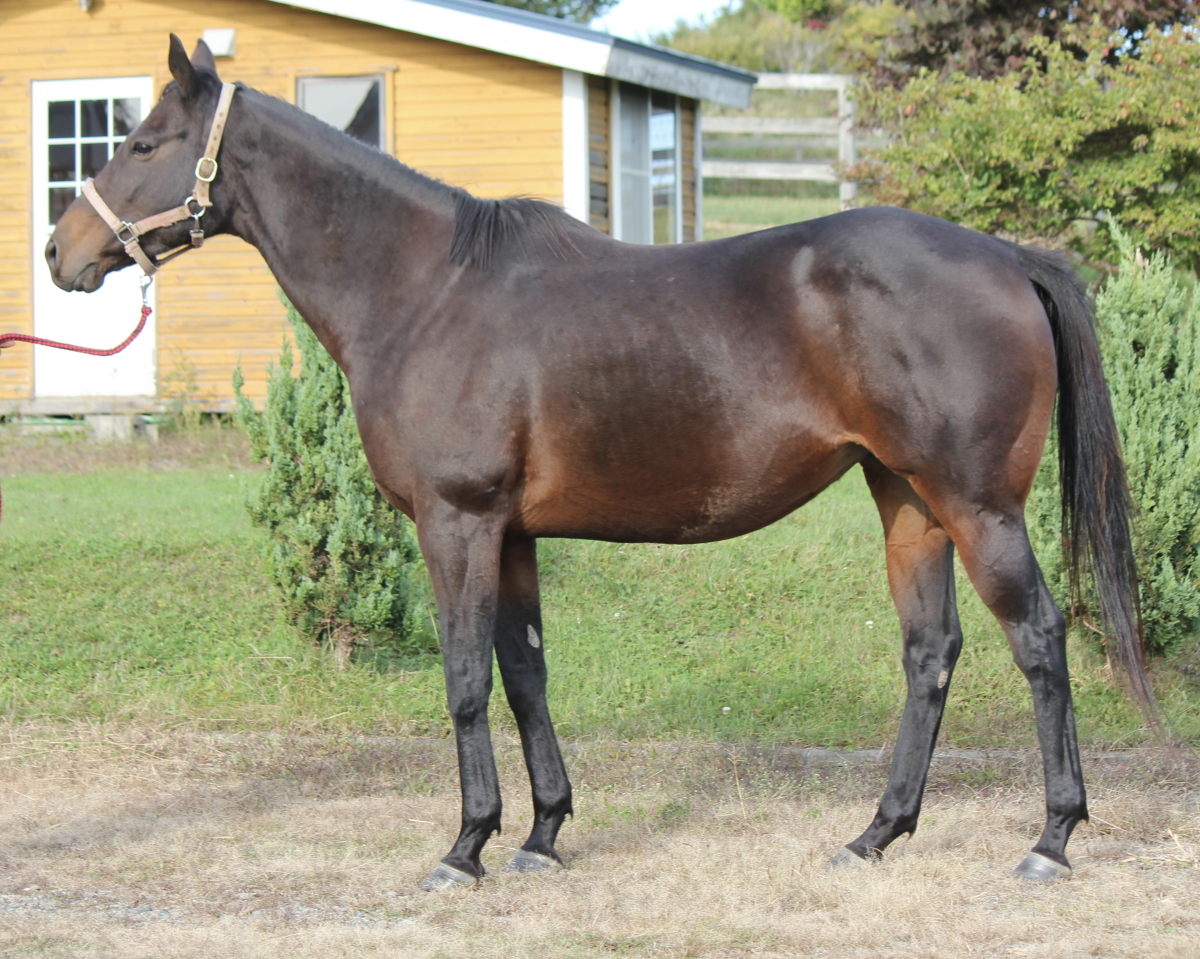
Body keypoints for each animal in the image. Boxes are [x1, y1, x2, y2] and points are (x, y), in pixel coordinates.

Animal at [46, 36, 1153, 890]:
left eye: (143, 141)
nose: (62, 254)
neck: (425, 290)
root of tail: (1006, 255)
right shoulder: (513, 533)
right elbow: (526, 673)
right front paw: (540, 833)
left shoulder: (457, 521)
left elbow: (463, 679)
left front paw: (464, 846)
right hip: (909, 503)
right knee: (931, 652)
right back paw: (875, 834)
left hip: (979, 506)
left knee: (1039, 638)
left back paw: (1052, 837)